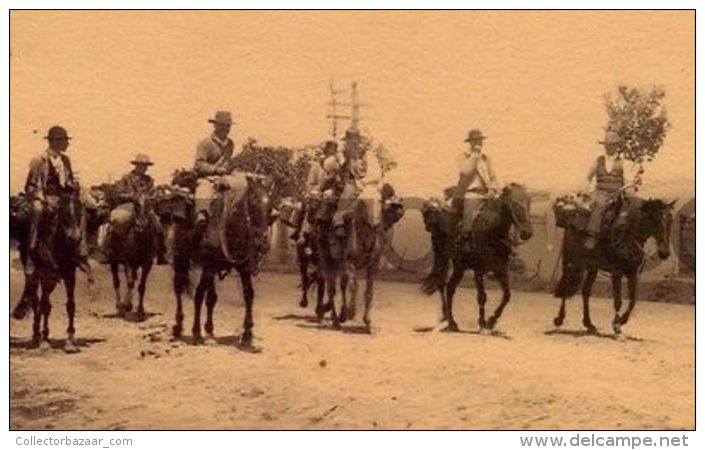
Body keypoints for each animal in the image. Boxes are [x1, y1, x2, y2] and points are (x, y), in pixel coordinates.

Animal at [11, 192, 85, 352]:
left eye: (80, 210)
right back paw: (36, 336)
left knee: (40, 301)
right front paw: (44, 340)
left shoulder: (70, 276)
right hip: (34, 276)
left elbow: (70, 305)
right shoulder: (46, 276)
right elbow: (45, 306)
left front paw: (70, 340)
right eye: (64, 212)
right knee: (36, 300)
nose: (75, 238)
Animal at [170, 174, 276, 350]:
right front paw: (196, 332)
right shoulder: (208, 266)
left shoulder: (242, 267)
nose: (262, 244)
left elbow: (248, 294)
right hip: (181, 259)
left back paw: (209, 330)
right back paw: (178, 326)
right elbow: (199, 295)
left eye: (270, 209)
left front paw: (247, 334)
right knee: (179, 288)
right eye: (252, 205)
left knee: (211, 297)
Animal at [316, 183, 404, 334]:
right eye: (363, 202)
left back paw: (340, 315)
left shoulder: (373, 264)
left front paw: (367, 322)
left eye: (380, 201)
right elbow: (354, 286)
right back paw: (336, 320)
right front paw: (352, 312)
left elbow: (368, 291)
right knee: (331, 287)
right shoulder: (349, 261)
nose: (375, 223)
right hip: (327, 258)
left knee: (341, 284)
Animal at [418, 183, 532, 334]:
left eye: (529, 202)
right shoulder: (479, 270)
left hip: (459, 266)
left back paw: (451, 320)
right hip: (443, 257)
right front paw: (483, 323)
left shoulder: (500, 269)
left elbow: (507, 295)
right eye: (515, 203)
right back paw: (448, 319)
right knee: (442, 284)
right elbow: (482, 297)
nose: (527, 233)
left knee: (450, 287)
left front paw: (491, 321)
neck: (491, 231)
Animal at [552, 195, 672, 336]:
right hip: (570, 261)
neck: (627, 236)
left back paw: (589, 324)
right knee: (566, 287)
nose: (665, 253)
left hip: (592, 267)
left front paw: (622, 321)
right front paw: (616, 326)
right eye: (654, 219)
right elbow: (618, 301)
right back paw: (559, 319)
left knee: (586, 291)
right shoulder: (617, 273)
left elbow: (633, 299)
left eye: (670, 220)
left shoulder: (632, 273)